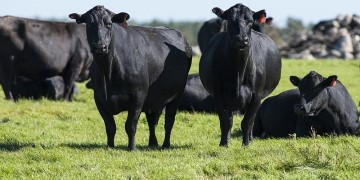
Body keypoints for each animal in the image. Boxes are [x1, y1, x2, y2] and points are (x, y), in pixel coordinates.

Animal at [69, 5, 193, 150]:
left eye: (109, 24)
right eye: (89, 24)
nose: (100, 46)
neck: (108, 73)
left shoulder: (138, 96)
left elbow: (131, 125)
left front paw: (132, 148)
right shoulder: (99, 99)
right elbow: (110, 126)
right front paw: (110, 146)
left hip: (176, 95)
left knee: (169, 121)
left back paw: (165, 145)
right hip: (153, 99)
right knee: (152, 121)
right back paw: (152, 143)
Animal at [200, 3, 282, 146]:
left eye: (250, 21)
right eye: (230, 21)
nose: (242, 40)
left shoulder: (256, 97)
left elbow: (247, 122)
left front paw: (246, 144)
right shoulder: (219, 95)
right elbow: (225, 122)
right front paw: (224, 144)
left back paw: (250, 139)